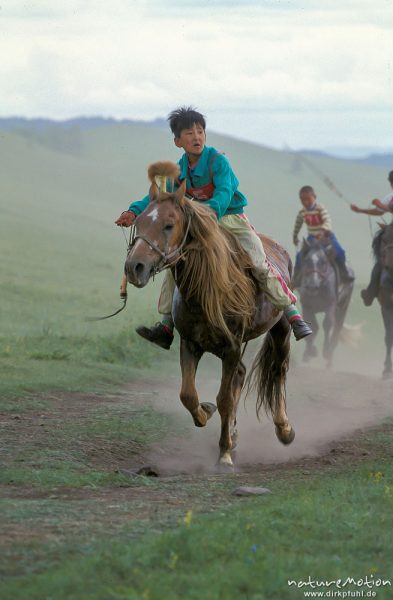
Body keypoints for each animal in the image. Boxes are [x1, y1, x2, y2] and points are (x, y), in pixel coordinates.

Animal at [125, 162, 294, 472]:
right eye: (139, 223)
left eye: (168, 225)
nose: (134, 267)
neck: (207, 288)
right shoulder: (191, 343)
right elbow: (188, 394)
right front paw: (205, 412)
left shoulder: (232, 346)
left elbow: (225, 398)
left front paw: (224, 454)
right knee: (241, 375)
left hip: (280, 329)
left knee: (278, 370)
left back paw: (284, 429)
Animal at [298, 237, 352, 368]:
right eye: (306, 260)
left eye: (323, 262)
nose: (312, 287)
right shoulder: (307, 306)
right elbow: (312, 325)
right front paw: (310, 352)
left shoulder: (330, 305)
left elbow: (327, 324)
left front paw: (326, 351)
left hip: (342, 307)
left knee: (337, 328)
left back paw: (330, 359)